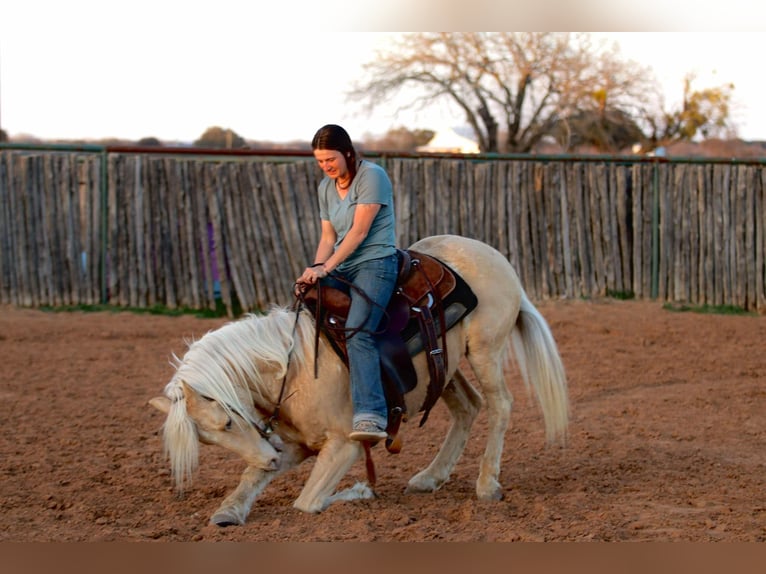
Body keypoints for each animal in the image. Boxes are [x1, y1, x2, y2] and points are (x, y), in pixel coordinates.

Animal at [149, 234, 569, 526]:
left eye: (227, 421)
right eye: (208, 439)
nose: (271, 459)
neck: (296, 368)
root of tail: (496, 258)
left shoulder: (343, 445)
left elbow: (307, 501)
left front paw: (360, 491)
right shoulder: (295, 445)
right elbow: (249, 480)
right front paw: (229, 511)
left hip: (484, 351)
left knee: (500, 406)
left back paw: (486, 485)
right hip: (445, 368)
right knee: (469, 407)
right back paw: (429, 477)